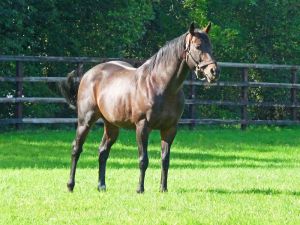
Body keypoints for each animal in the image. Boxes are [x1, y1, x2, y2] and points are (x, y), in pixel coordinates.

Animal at [60, 22, 220, 192]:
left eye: (211, 47)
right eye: (198, 46)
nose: (214, 72)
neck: (160, 85)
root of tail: (88, 74)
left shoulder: (169, 129)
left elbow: (165, 160)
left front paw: (163, 189)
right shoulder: (143, 126)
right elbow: (143, 160)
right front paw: (140, 189)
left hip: (111, 126)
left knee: (103, 151)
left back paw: (101, 186)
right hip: (85, 121)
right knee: (76, 149)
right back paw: (70, 185)